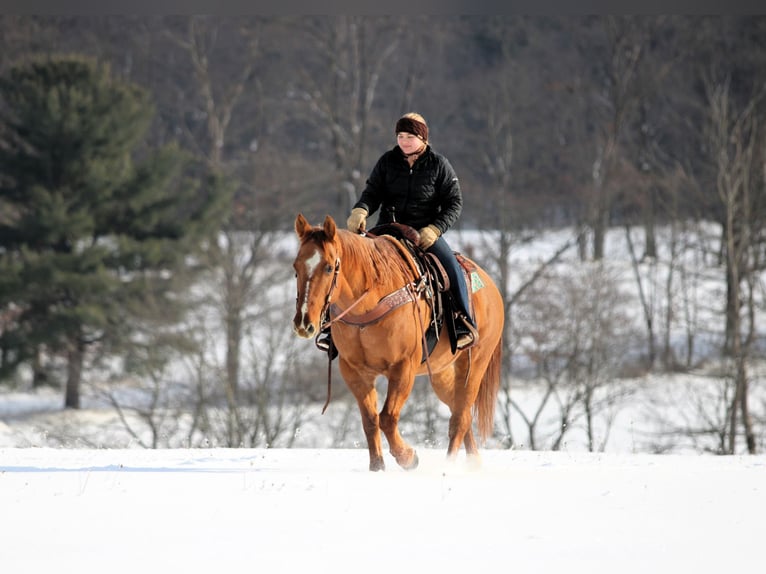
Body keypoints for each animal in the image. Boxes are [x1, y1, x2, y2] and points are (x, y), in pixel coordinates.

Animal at [292, 213, 504, 471]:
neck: (369, 303)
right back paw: (472, 462)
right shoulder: (354, 371)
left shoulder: (403, 367)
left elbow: (387, 417)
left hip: (474, 365)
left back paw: (449, 464)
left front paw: (408, 458)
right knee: (457, 409)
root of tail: (491, 287)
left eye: (329, 267)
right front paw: (377, 467)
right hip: (441, 372)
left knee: (461, 416)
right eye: (296, 267)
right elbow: (370, 419)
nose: (304, 323)